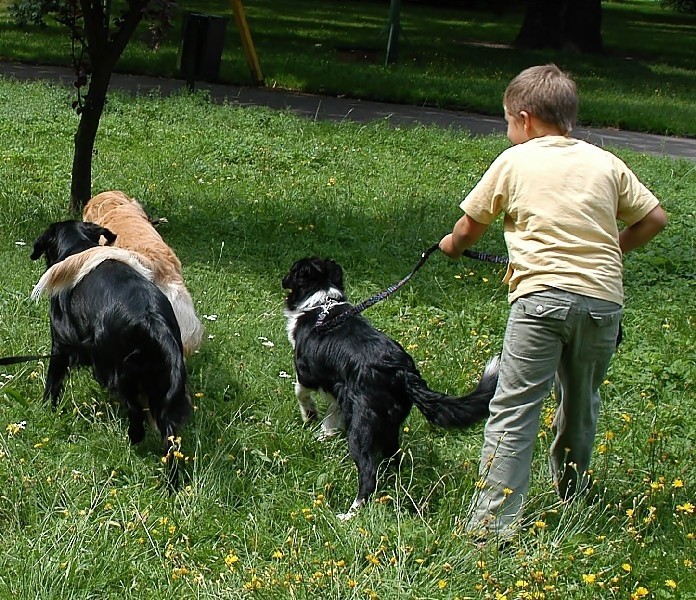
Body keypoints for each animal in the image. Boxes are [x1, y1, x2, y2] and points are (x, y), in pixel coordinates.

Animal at [31, 220, 192, 488]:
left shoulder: (60, 346)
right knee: (170, 441)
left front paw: (45, 411)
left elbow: (52, 384)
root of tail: (155, 323)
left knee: (136, 413)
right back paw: (171, 485)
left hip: (114, 374)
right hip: (159, 389)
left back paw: (133, 439)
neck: (79, 247)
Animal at [282, 255, 500, 516]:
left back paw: (350, 513)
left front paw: (310, 416)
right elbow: (333, 415)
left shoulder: (308, 372)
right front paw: (324, 434)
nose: (283, 278)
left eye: (293, 271)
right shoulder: (342, 390)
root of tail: (401, 370)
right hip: (389, 425)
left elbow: (300, 391)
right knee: (394, 461)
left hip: (362, 428)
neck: (322, 303)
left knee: (369, 473)